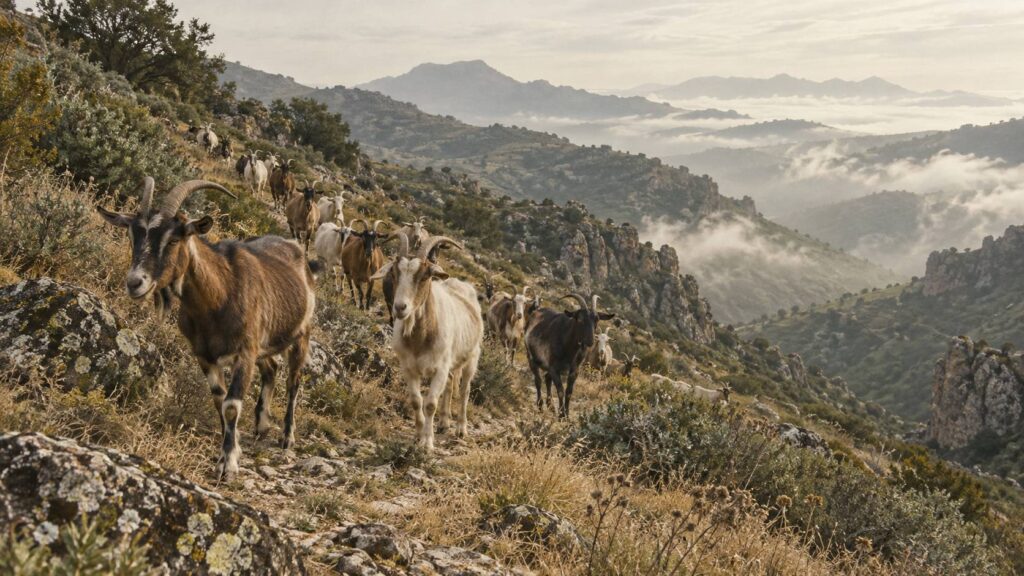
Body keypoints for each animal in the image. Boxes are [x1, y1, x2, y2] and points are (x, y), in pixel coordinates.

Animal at [97, 177, 317, 480]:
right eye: (133, 236)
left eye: (173, 239)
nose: (135, 283)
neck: (218, 297)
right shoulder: (204, 355)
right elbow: (218, 401)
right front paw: (231, 449)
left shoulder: (245, 353)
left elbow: (232, 406)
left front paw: (228, 464)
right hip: (265, 343)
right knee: (271, 369)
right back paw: (261, 426)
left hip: (300, 335)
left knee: (293, 382)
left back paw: (287, 437)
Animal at [371, 234, 482, 451]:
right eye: (394, 274)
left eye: (424, 276)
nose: (400, 307)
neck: (420, 339)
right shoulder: (408, 368)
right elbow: (416, 401)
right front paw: (418, 435)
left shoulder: (439, 368)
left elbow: (430, 403)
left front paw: (427, 442)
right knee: (450, 384)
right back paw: (444, 422)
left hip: (472, 357)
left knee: (465, 390)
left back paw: (460, 428)